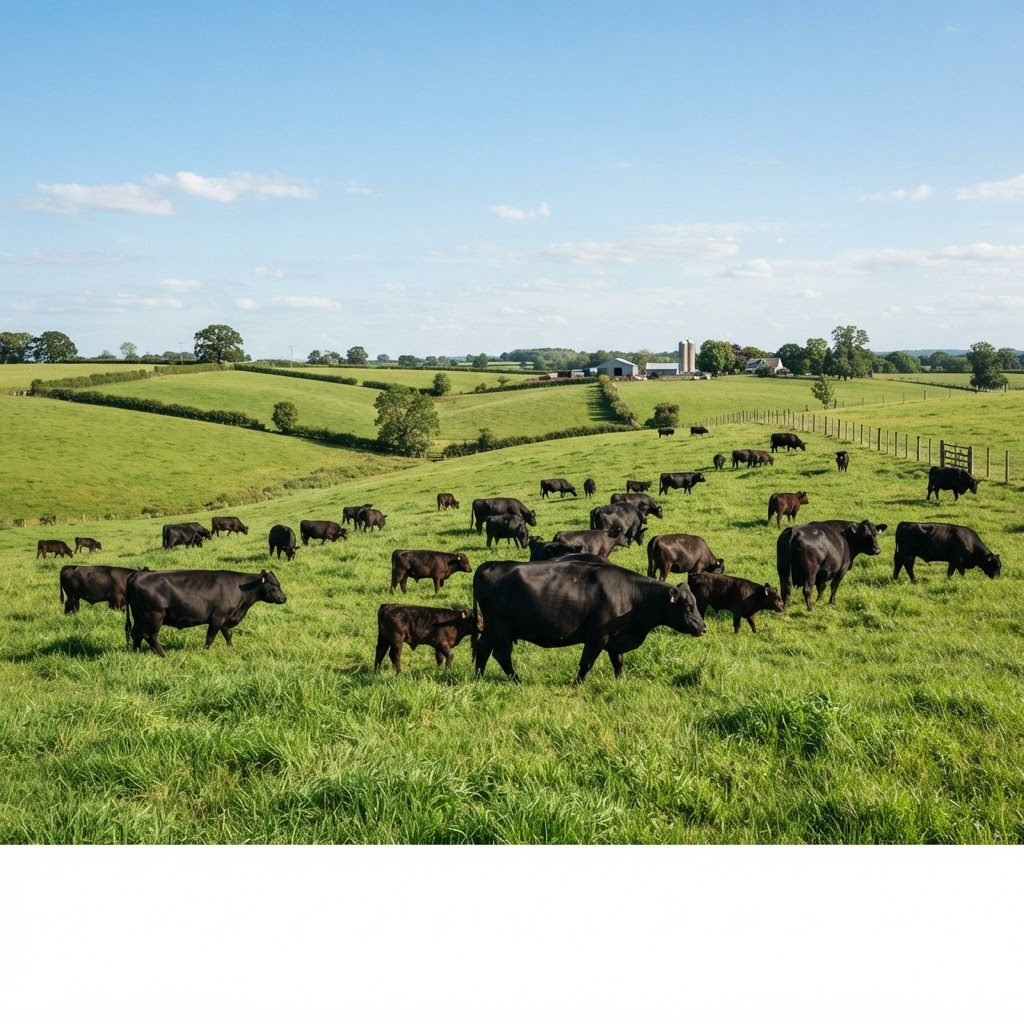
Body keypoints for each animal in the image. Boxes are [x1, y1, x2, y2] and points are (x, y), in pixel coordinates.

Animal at [124, 568, 287, 656]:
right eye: (274, 585)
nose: (284, 598)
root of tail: (137, 575)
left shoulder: (226, 618)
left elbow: (228, 634)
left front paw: (231, 648)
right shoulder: (217, 618)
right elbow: (210, 637)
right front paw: (205, 651)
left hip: (140, 617)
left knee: (136, 634)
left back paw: (136, 651)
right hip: (153, 617)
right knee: (149, 635)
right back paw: (163, 654)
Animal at [472, 559, 706, 683]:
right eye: (688, 606)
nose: (703, 628)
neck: (632, 596)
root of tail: (490, 565)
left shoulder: (615, 638)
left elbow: (618, 661)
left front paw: (620, 681)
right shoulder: (597, 637)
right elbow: (586, 663)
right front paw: (577, 684)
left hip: (492, 628)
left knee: (482, 650)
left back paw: (479, 677)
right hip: (502, 628)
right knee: (501, 655)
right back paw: (517, 680)